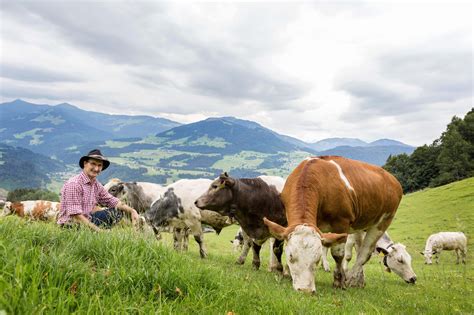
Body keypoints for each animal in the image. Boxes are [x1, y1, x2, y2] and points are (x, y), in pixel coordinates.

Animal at [262, 156, 404, 294]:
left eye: (317, 259)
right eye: (290, 256)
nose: (305, 290)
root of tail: (392, 178)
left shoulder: (342, 222)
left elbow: (338, 254)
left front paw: (338, 281)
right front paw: (287, 273)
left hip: (383, 222)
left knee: (364, 253)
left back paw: (351, 279)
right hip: (360, 224)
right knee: (359, 248)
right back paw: (360, 281)